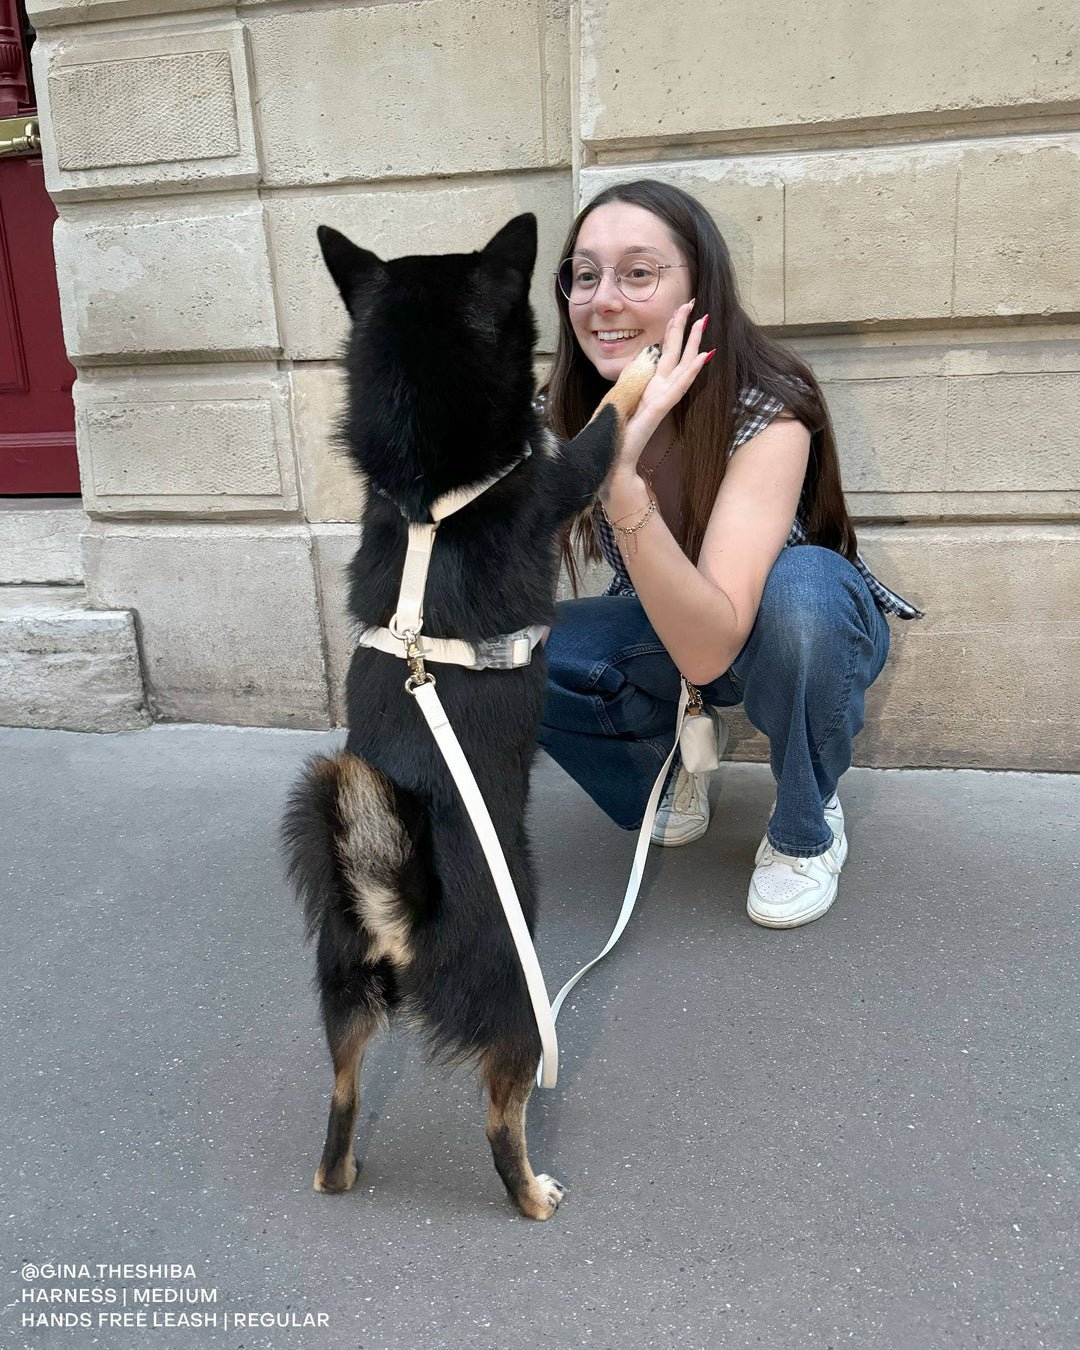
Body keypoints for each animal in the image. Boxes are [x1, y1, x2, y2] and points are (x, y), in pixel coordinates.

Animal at [282, 213, 653, 1225]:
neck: (429, 503)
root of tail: (398, 918)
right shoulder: (564, 477)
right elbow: (607, 425)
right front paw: (649, 364)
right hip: (520, 1002)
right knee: (502, 1119)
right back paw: (534, 1194)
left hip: (341, 1004)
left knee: (337, 1112)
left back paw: (340, 1172)